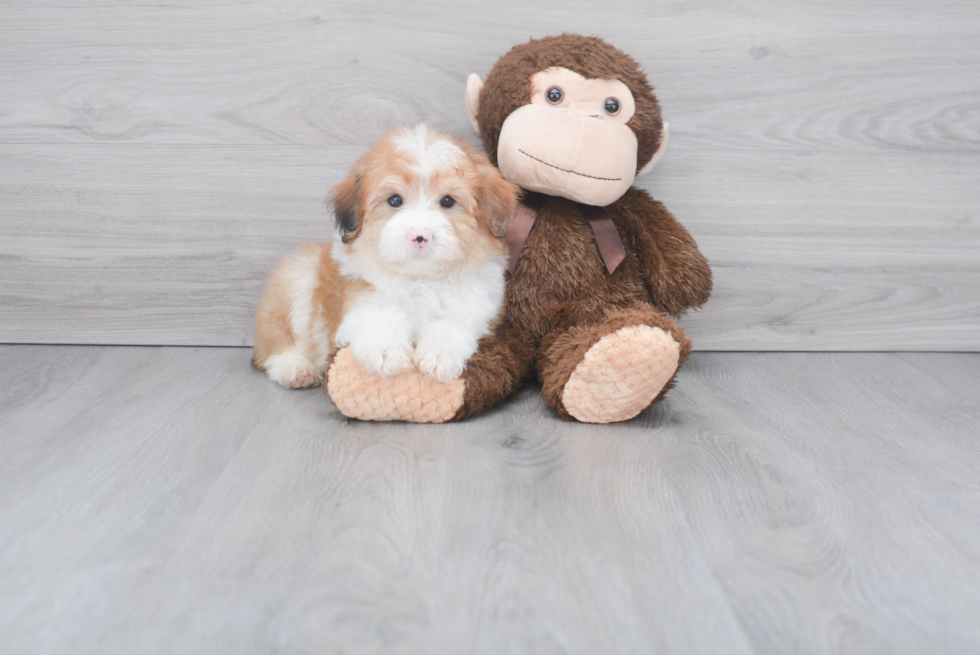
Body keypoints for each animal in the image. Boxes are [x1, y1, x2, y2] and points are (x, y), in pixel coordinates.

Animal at [251, 123, 520, 390]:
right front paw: (386, 350)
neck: (420, 280)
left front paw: (439, 355)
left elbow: (454, 324)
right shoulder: (360, 296)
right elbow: (378, 316)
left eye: (447, 201)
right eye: (394, 200)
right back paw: (295, 368)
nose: (420, 235)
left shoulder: (476, 307)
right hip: (296, 277)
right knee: (275, 347)